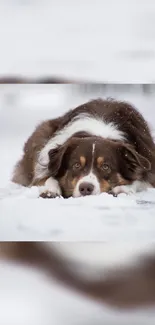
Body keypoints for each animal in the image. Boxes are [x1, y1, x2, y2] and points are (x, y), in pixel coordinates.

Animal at [11, 97, 155, 197]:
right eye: (76, 165)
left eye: (105, 167)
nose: (86, 188)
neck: (98, 132)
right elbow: (47, 177)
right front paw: (50, 190)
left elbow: (138, 181)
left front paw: (122, 189)